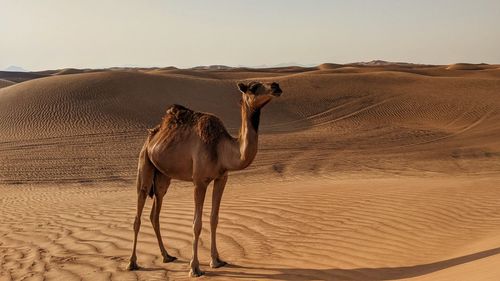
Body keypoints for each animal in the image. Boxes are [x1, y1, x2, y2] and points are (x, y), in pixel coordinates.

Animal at [127, 80, 284, 276]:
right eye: (254, 87)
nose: (276, 86)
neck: (222, 149)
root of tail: (152, 135)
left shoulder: (222, 178)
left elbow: (214, 219)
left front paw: (216, 260)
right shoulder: (199, 181)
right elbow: (197, 224)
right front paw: (194, 267)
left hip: (162, 177)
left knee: (155, 214)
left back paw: (167, 256)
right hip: (145, 165)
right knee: (138, 213)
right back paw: (132, 263)